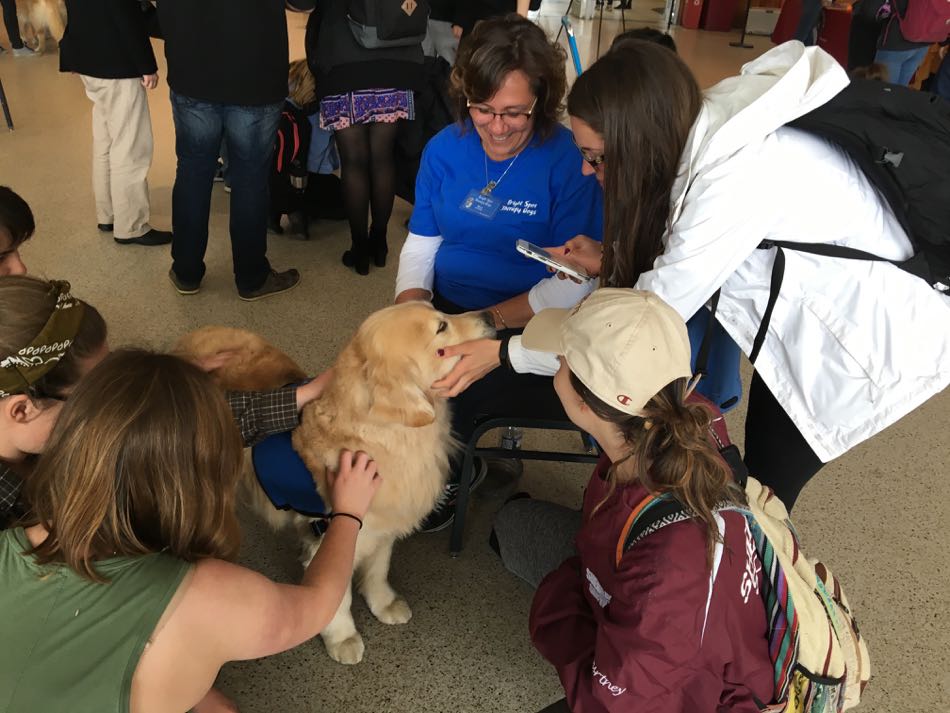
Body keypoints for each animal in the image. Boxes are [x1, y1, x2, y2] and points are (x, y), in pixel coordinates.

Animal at [175, 300, 494, 660]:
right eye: (441, 327)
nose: (489, 315)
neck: (389, 438)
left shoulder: (382, 528)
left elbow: (378, 569)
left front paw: (384, 604)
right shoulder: (329, 534)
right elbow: (338, 594)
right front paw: (343, 638)